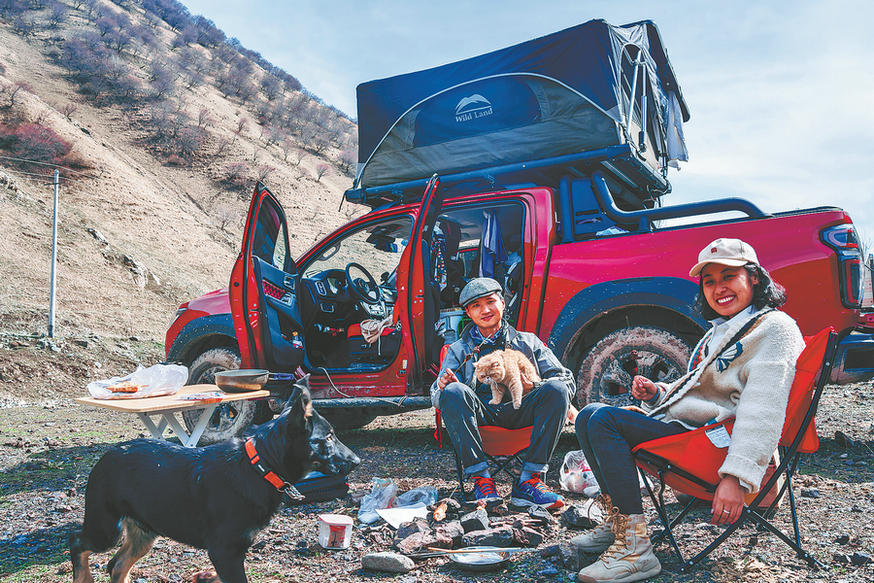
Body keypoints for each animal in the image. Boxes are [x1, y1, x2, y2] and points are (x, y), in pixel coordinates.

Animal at [69, 376, 359, 583]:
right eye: (328, 437)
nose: (356, 461)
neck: (259, 466)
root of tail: (108, 455)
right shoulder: (225, 550)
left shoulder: (228, 553)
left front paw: (204, 577)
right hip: (106, 528)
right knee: (78, 543)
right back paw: (83, 577)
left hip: (146, 530)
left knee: (117, 565)